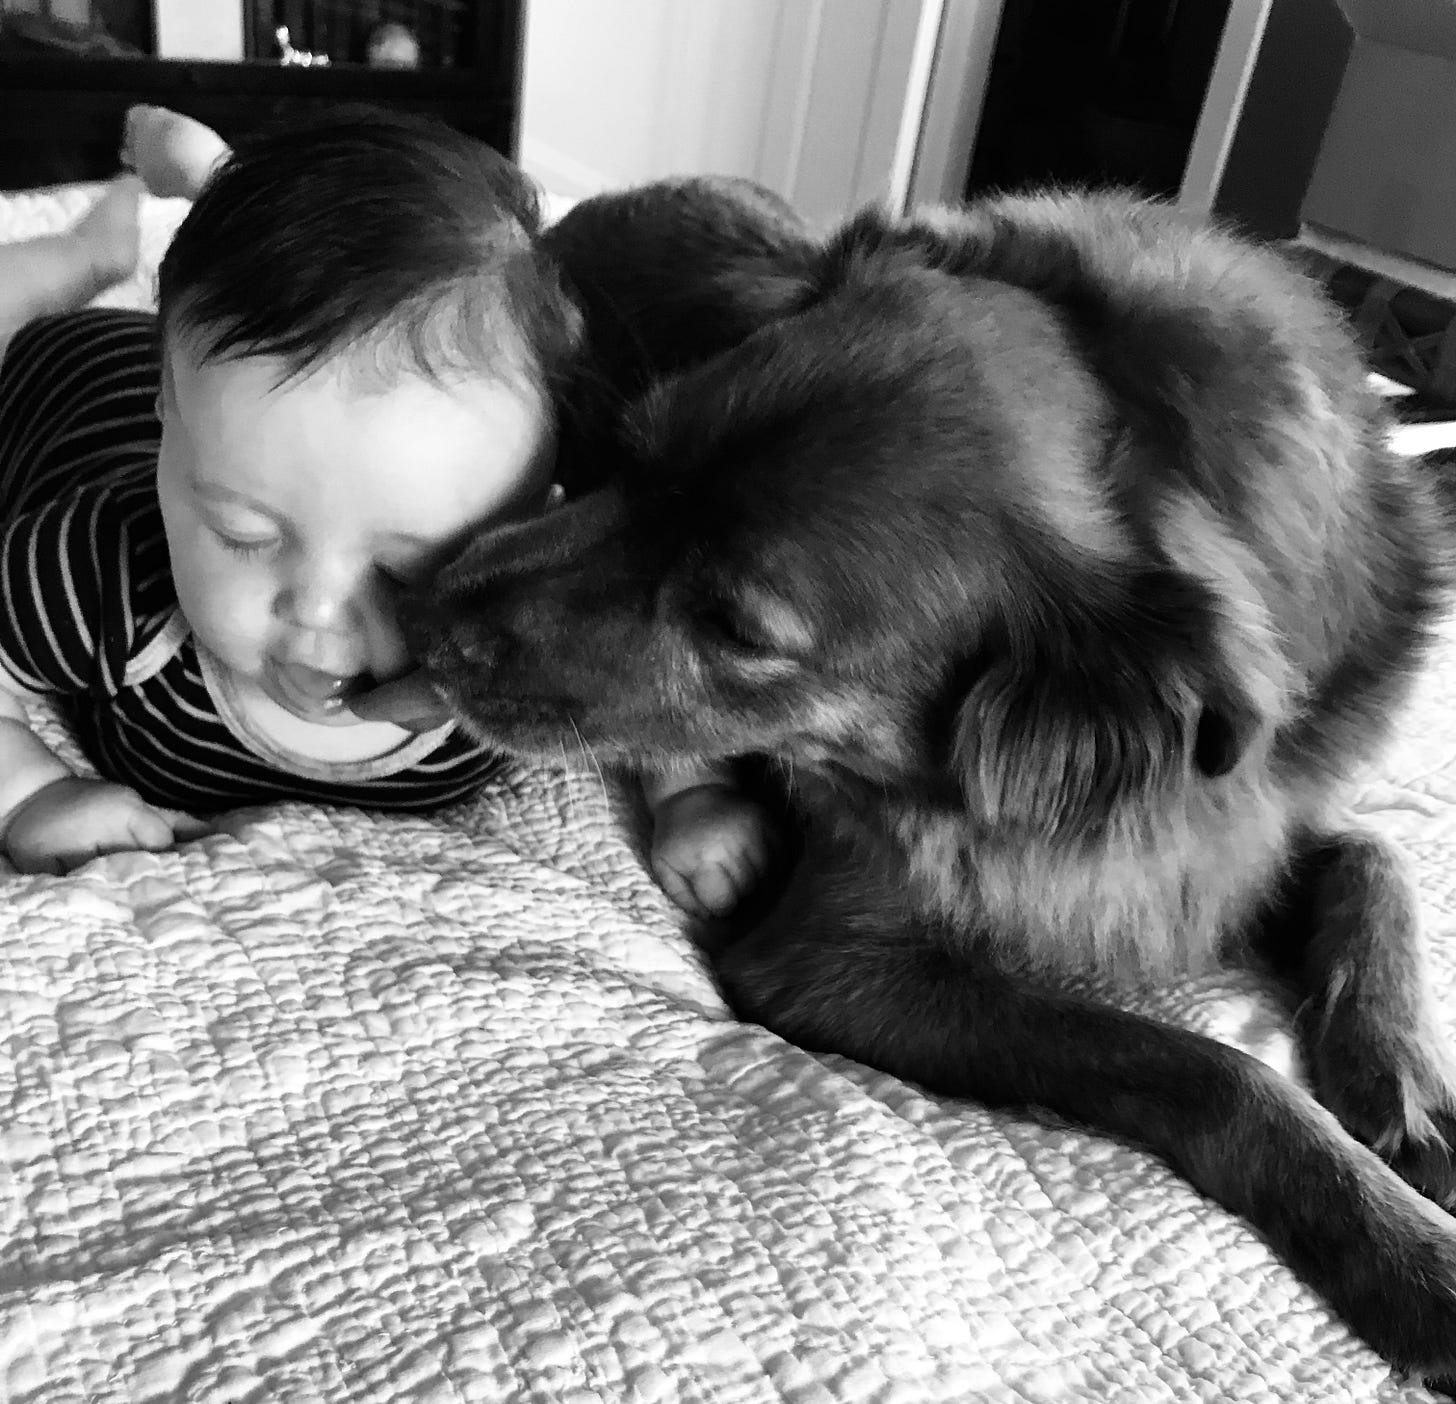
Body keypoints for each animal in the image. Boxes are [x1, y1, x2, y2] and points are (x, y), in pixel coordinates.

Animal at [379, 181, 1456, 1384]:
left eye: (734, 626)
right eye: (631, 455)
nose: (417, 618)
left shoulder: (1245, 828)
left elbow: (1375, 856)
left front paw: (1402, 1084)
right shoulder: (831, 958)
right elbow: (1210, 1068)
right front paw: (1407, 1252)